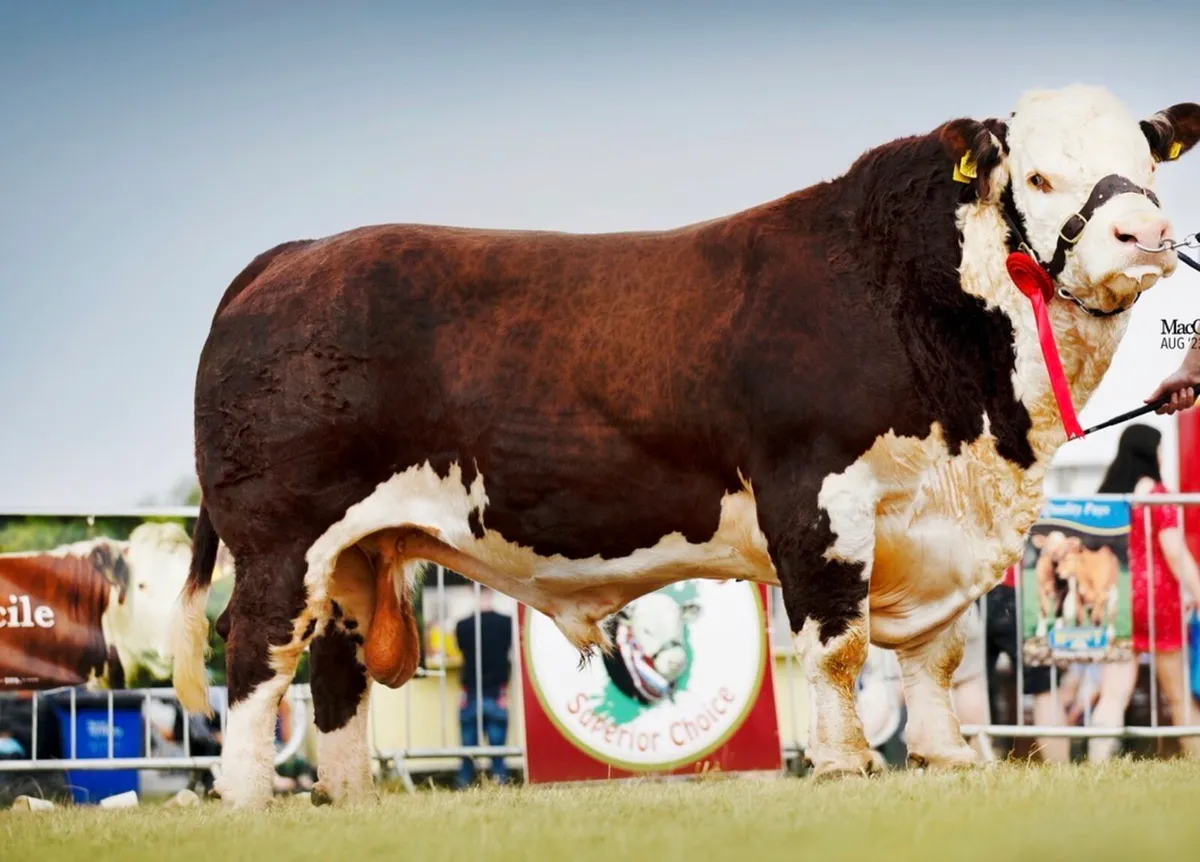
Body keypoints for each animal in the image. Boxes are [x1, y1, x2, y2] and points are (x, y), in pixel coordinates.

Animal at [169, 84, 1200, 808]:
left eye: (1149, 169)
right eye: (1039, 177)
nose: (1144, 233)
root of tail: (294, 257)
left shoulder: (939, 524)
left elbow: (933, 658)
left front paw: (946, 757)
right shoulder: (816, 496)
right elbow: (838, 647)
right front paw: (845, 766)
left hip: (353, 553)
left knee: (334, 668)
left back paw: (348, 801)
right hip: (282, 538)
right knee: (256, 656)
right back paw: (251, 800)